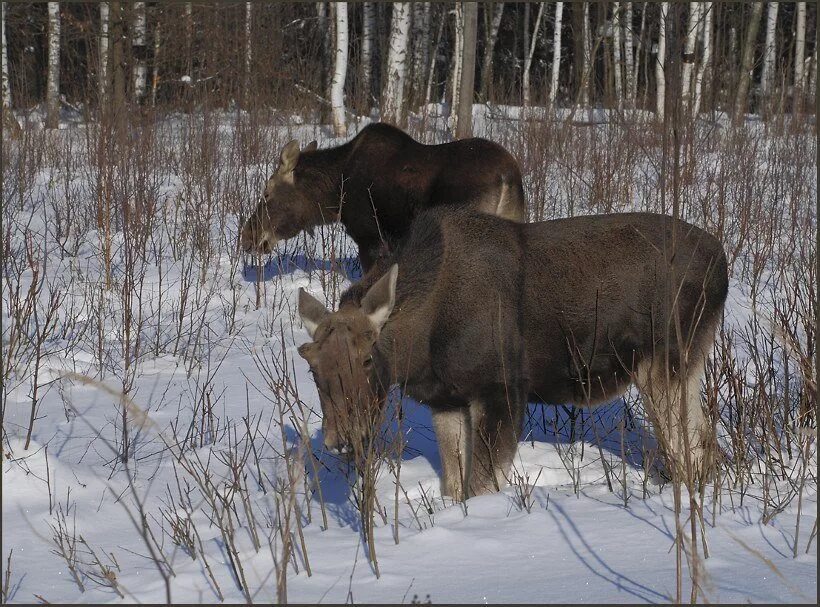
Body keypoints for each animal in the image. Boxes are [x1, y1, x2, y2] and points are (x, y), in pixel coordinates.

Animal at [298, 208, 728, 498]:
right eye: (312, 367)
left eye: (367, 357)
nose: (341, 439)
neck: (420, 351)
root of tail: (723, 263)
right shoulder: (447, 399)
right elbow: (454, 484)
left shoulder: (501, 389)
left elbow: (482, 485)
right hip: (684, 367)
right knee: (707, 442)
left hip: (665, 363)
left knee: (689, 445)